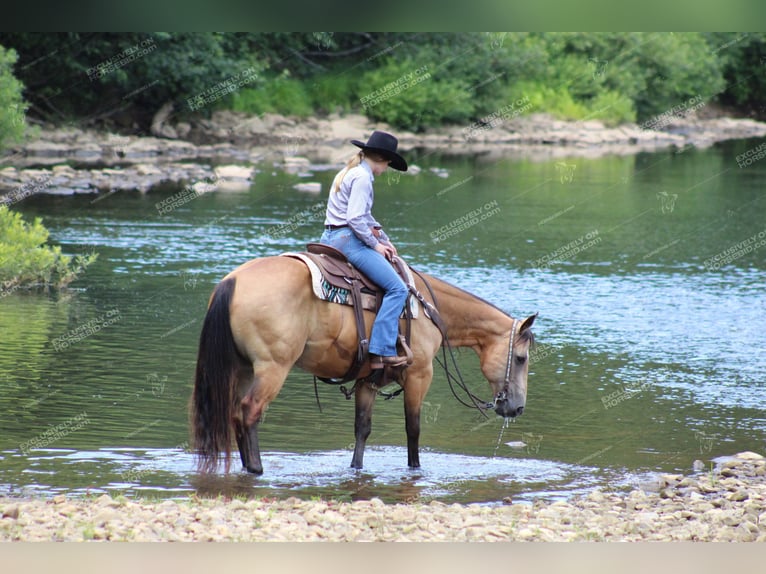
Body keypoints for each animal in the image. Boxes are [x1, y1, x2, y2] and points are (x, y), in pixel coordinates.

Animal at [190, 256, 540, 476]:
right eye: (521, 358)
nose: (518, 407)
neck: (429, 309)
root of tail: (232, 281)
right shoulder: (419, 376)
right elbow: (413, 429)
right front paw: (415, 469)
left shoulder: (367, 382)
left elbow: (362, 429)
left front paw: (356, 468)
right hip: (272, 368)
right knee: (249, 412)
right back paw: (257, 469)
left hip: (243, 369)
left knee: (234, 414)